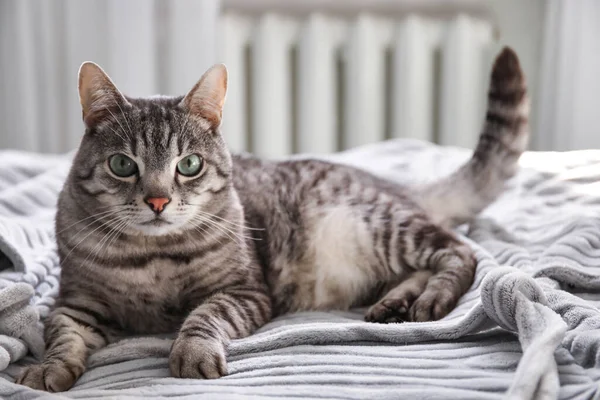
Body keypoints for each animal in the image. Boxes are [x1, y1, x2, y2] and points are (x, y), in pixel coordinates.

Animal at [16, 46, 528, 390]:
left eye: (188, 165)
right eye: (123, 165)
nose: (158, 201)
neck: (151, 256)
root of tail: (392, 184)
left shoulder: (244, 290)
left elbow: (203, 316)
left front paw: (192, 352)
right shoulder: (76, 302)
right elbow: (60, 334)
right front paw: (47, 369)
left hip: (383, 227)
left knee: (458, 252)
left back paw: (430, 300)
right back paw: (395, 304)